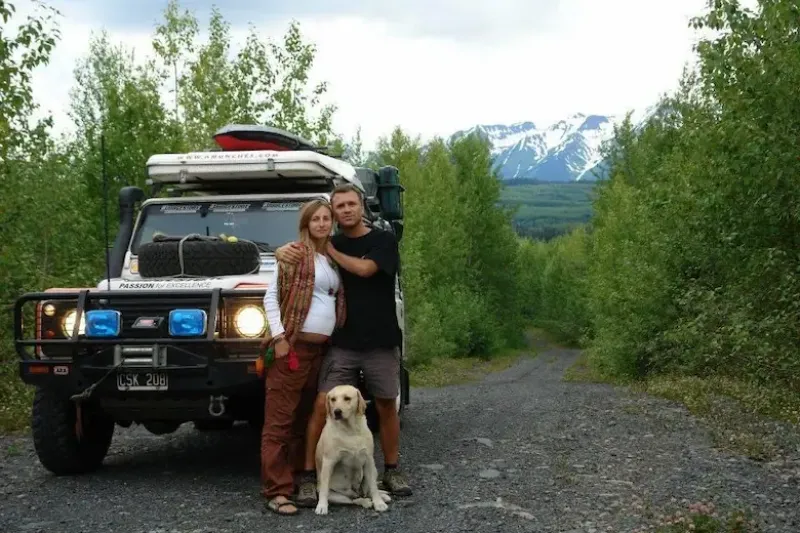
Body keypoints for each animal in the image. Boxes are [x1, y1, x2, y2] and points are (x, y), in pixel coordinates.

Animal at [312, 384, 390, 512]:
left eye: (347, 398)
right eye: (333, 399)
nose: (337, 411)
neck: (350, 430)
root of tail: (355, 492)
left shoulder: (368, 460)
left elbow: (373, 487)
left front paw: (379, 503)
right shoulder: (328, 462)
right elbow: (324, 489)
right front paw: (322, 506)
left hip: (373, 471)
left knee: (368, 491)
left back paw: (382, 496)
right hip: (337, 495)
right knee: (353, 500)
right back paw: (365, 502)